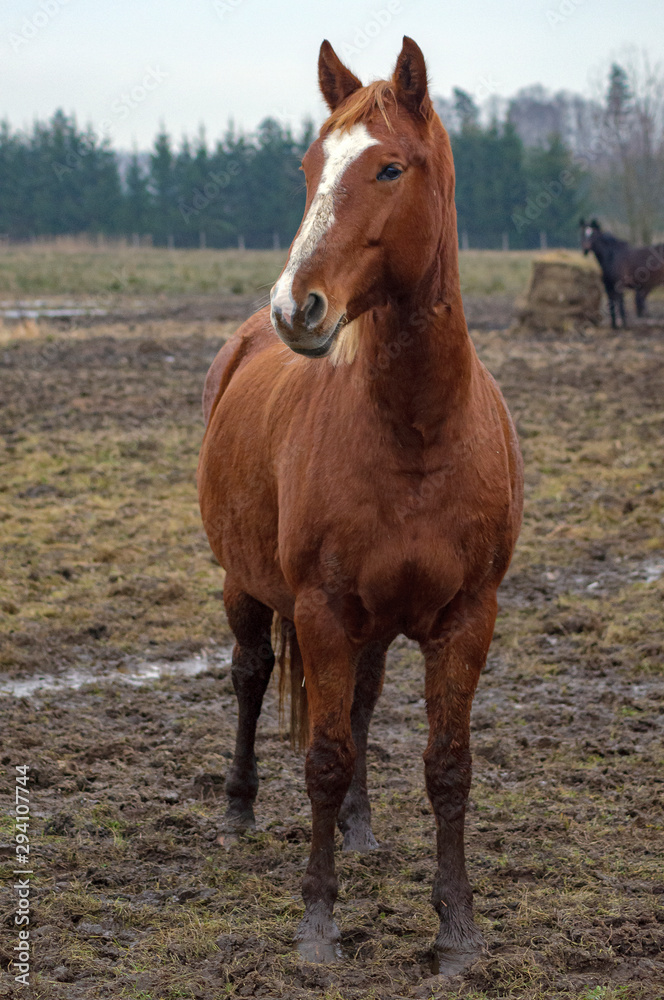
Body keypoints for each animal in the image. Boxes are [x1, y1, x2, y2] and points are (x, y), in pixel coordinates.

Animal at [198, 37, 524, 968]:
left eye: (389, 168)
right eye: (312, 167)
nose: (294, 307)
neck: (415, 431)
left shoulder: (468, 616)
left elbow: (447, 764)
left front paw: (457, 929)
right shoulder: (320, 609)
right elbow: (325, 755)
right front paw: (318, 921)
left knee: (366, 699)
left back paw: (361, 827)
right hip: (245, 585)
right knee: (250, 674)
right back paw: (237, 809)